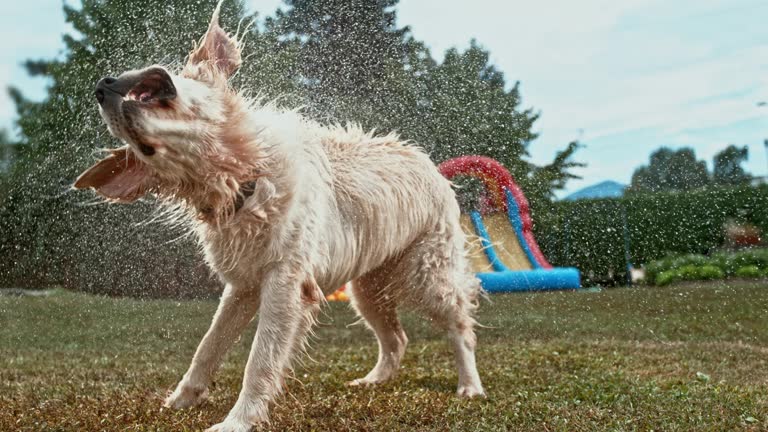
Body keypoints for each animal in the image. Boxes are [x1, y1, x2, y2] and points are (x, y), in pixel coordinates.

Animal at [76, 1, 486, 430]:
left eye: (154, 88)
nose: (101, 86)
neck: (244, 181)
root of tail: (427, 161)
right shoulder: (241, 285)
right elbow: (208, 346)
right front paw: (180, 400)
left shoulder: (285, 281)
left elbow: (260, 360)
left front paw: (237, 420)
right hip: (367, 287)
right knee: (397, 339)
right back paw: (372, 381)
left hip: (428, 274)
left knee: (460, 326)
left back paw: (470, 386)